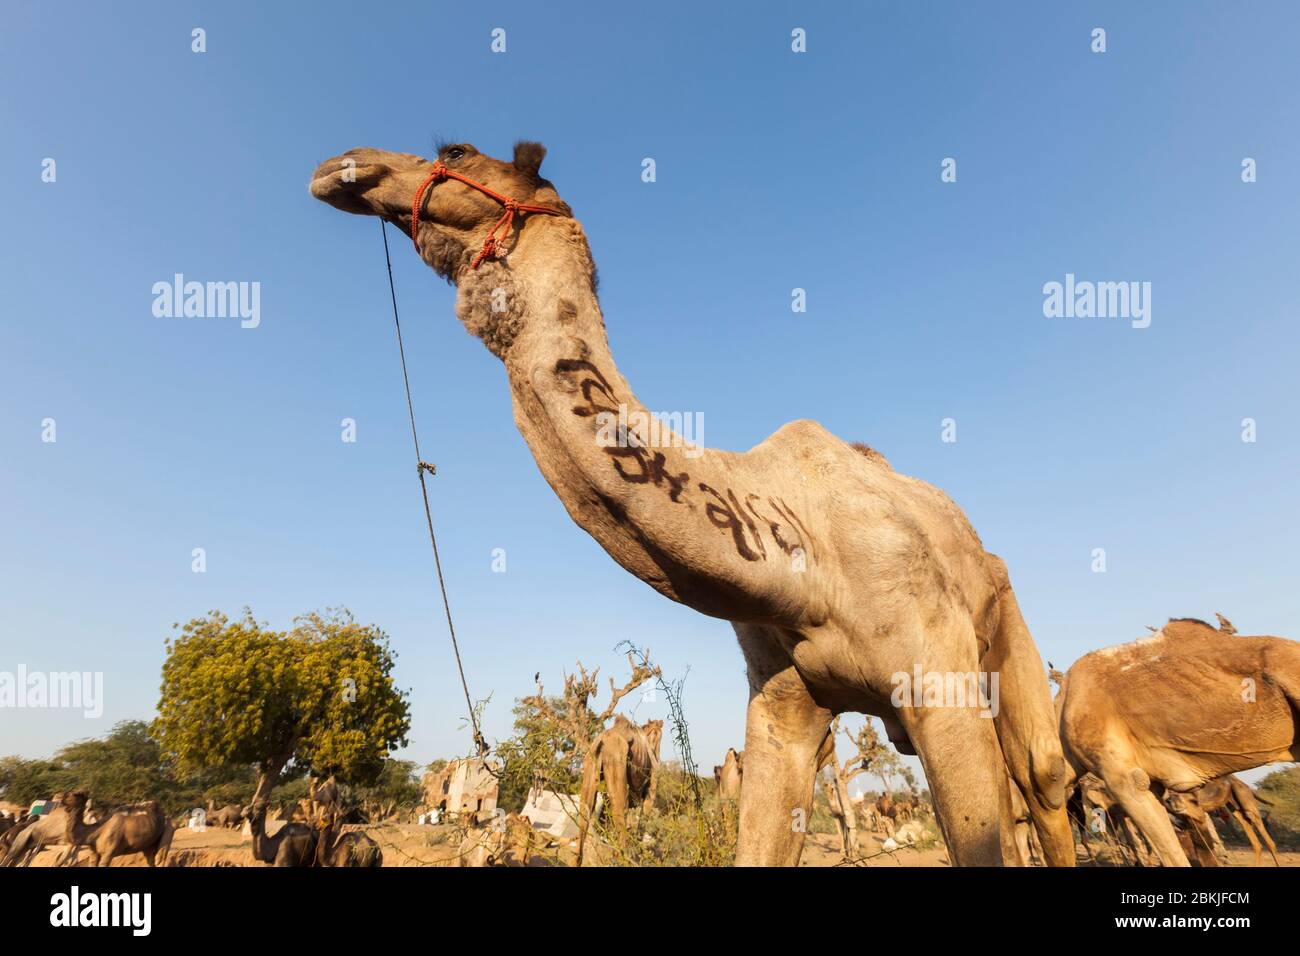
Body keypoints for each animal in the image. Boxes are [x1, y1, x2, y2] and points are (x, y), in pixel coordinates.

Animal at [309, 136, 1071, 868]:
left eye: (457, 151)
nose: (341, 166)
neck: (805, 562)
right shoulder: (781, 708)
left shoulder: (939, 686)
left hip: (1004, 633)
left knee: (1043, 779)